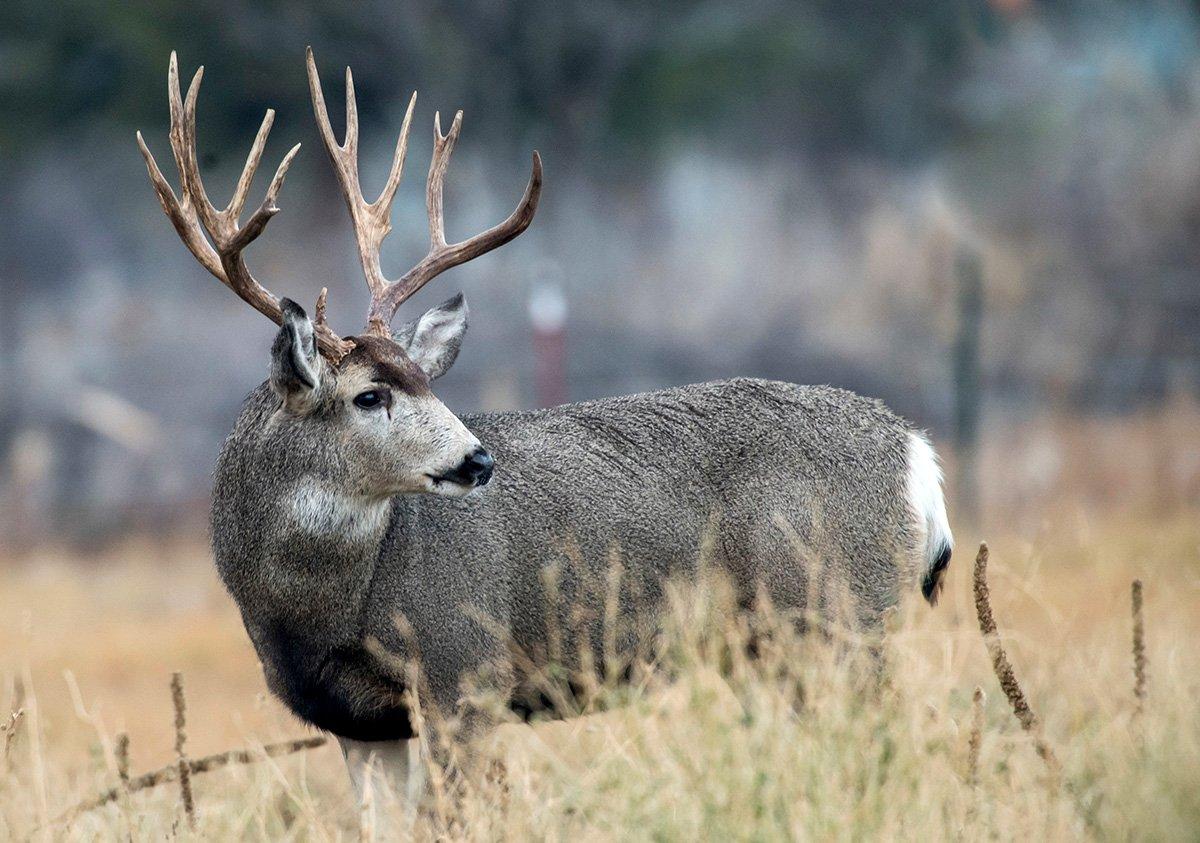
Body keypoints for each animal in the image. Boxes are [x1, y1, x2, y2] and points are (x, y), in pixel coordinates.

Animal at [136, 51, 950, 811]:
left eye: (429, 382)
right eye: (370, 395)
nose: (477, 459)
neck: (317, 610)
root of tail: (915, 451)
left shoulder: (463, 674)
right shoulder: (359, 724)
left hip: (838, 613)